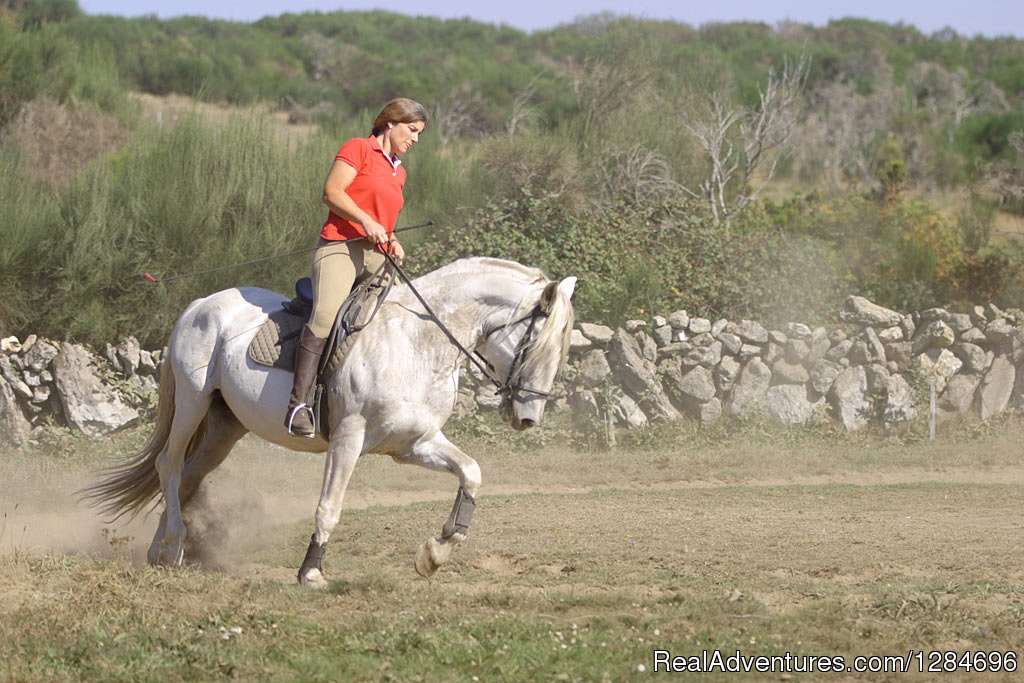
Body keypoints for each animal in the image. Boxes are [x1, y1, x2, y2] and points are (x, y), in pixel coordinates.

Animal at [79, 255, 577, 589]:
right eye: (538, 345)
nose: (528, 418)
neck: (417, 339)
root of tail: (201, 303)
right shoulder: (349, 438)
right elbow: (329, 506)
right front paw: (312, 571)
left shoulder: (414, 444)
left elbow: (471, 472)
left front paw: (436, 552)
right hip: (193, 401)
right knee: (169, 464)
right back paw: (176, 543)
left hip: (225, 426)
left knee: (187, 476)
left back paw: (160, 549)